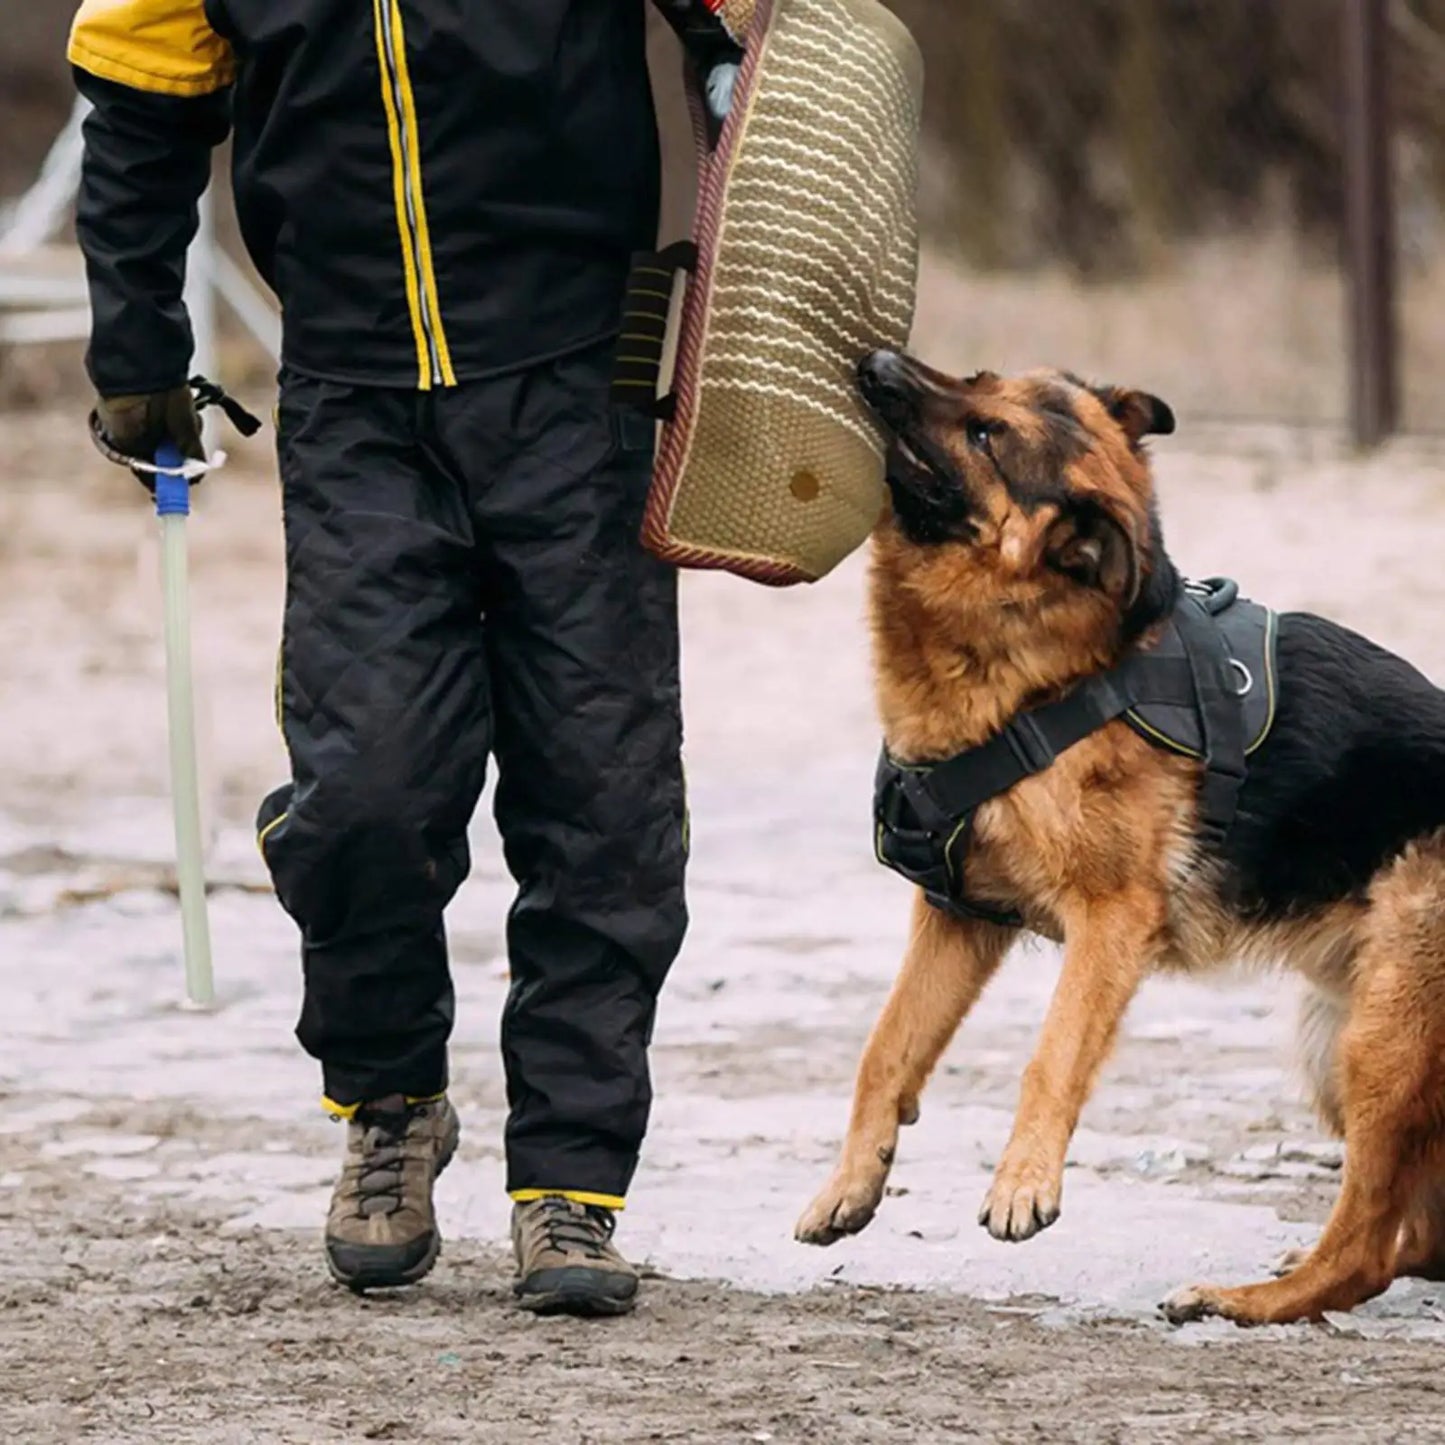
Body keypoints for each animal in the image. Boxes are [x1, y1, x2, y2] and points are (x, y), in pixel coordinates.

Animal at [791, 349, 1445, 1323]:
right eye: (976, 378)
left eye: (986, 435)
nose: (876, 362)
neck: (1048, 666)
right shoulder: (958, 917)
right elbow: (884, 1048)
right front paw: (849, 1183)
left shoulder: (1109, 922)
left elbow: (1051, 1054)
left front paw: (1021, 1183)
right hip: (1335, 1038)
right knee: (1419, 1234)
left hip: (1378, 1041)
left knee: (1366, 1244)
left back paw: (1245, 1298)